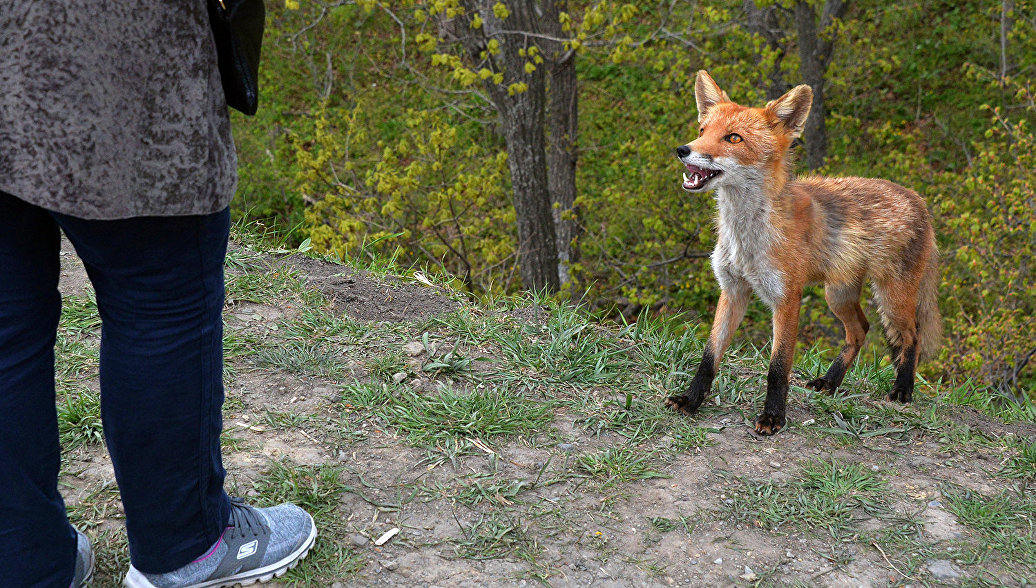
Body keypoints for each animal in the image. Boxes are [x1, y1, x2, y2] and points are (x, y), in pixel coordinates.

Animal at [667, 71, 944, 434]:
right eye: (702, 131)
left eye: (733, 138)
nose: (683, 150)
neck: (746, 238)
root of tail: (917, 198)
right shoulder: (732, 290)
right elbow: (709, 357)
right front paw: (691, 400)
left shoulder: (786, 297)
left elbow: (778, 367)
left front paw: (773, 417)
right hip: (837, 295)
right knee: (860, 330)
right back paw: (831, 382)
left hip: (892, 298)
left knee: (911, 336)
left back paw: (902, 389)